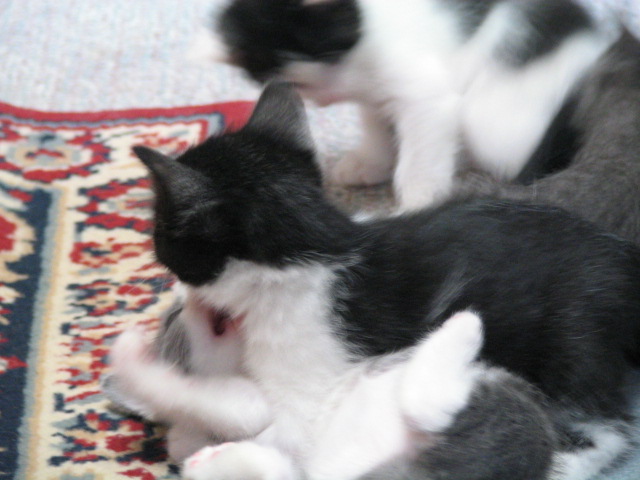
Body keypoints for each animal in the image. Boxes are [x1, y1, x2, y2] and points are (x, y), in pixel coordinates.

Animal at [106, 82, 640, 480]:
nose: (181, 299)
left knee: (608, 427)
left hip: (573, 344)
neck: (320, 250)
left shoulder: (306, 389)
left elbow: (243, 411)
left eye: (161, 237)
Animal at [200, 0, 617, 211]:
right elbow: (375, 123)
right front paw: (369, 163)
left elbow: (420, 160)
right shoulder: (372, 93)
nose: (324, 99)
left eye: (305, 78)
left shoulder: (426, 96)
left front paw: (418, 201)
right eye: (296, 86)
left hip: (496, 107)